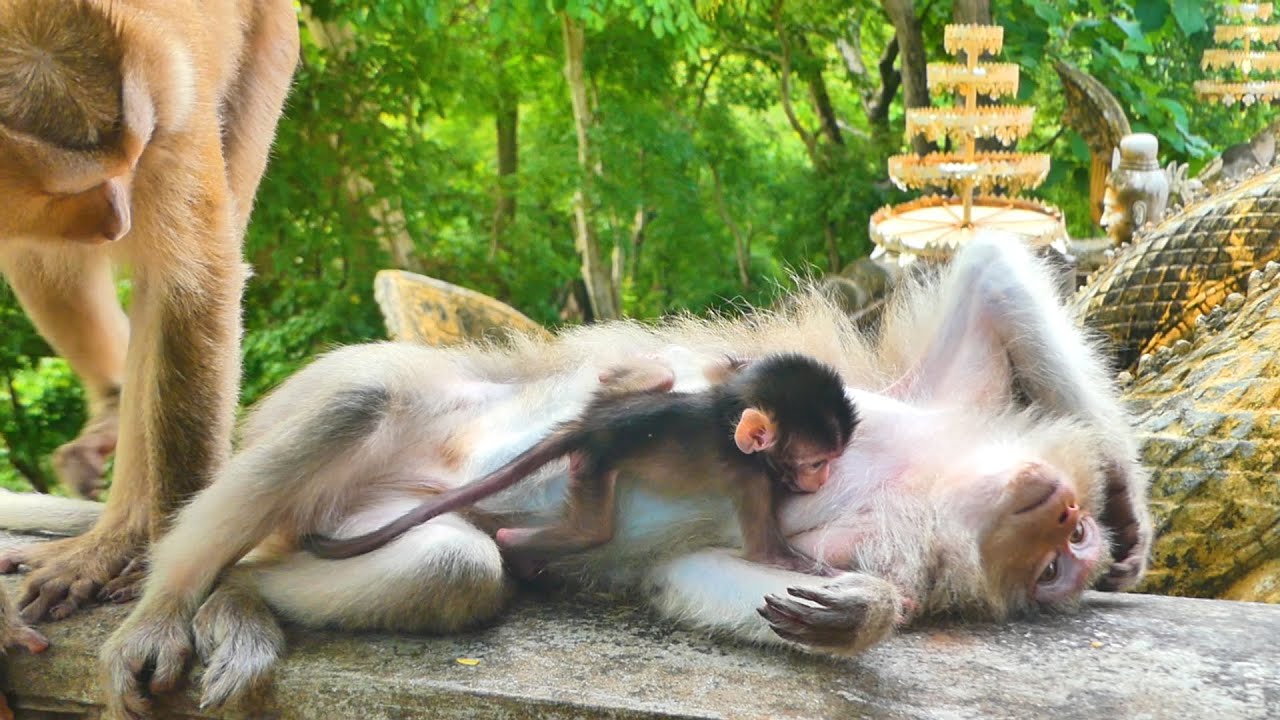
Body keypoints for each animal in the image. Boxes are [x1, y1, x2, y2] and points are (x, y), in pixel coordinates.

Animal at [0, 0, 299, 621]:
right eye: (67, 191)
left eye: (130, 162)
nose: (118, 217)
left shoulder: (170, 111)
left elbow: (191, 287)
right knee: (41, 258)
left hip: (273, 43)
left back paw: (126, 534)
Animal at [302, 353, 858, 575]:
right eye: (817, 462)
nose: (828, 476)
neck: (725, 412)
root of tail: (592, 423)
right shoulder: (750, 478)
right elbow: (765, 552)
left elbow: (722, 366)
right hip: (595, 464)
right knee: (592, 531)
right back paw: (516, 545)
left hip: (615, 403)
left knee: (660, 372)